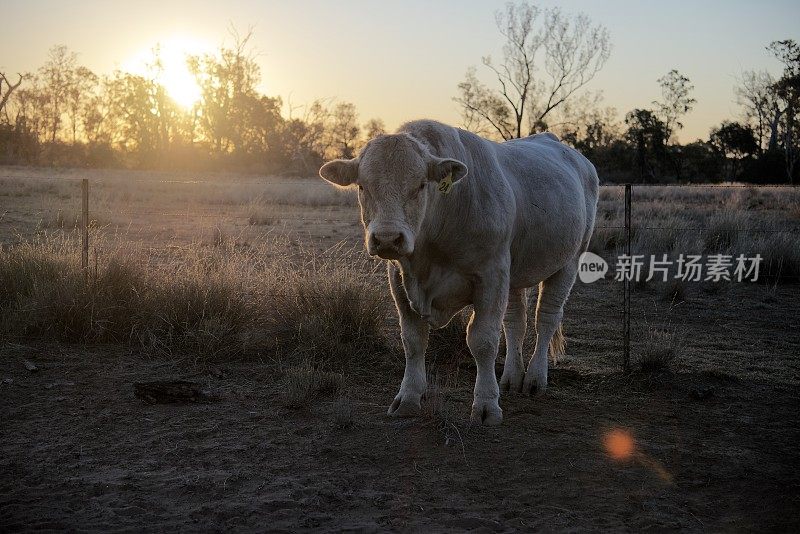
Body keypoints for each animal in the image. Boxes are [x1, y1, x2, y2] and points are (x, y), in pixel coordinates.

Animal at [322, 120, 596, 428]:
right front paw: (408, 397)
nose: (387, 239)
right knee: (516, 322)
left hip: (568, 262)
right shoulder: (399, 280)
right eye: (362, 186)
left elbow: (483, 341)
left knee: (546, 319)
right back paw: (512, 378)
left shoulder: (491, 276)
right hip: (514, 273)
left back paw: (535, 379)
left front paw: (486, 404)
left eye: (421, 185)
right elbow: (413, 340)